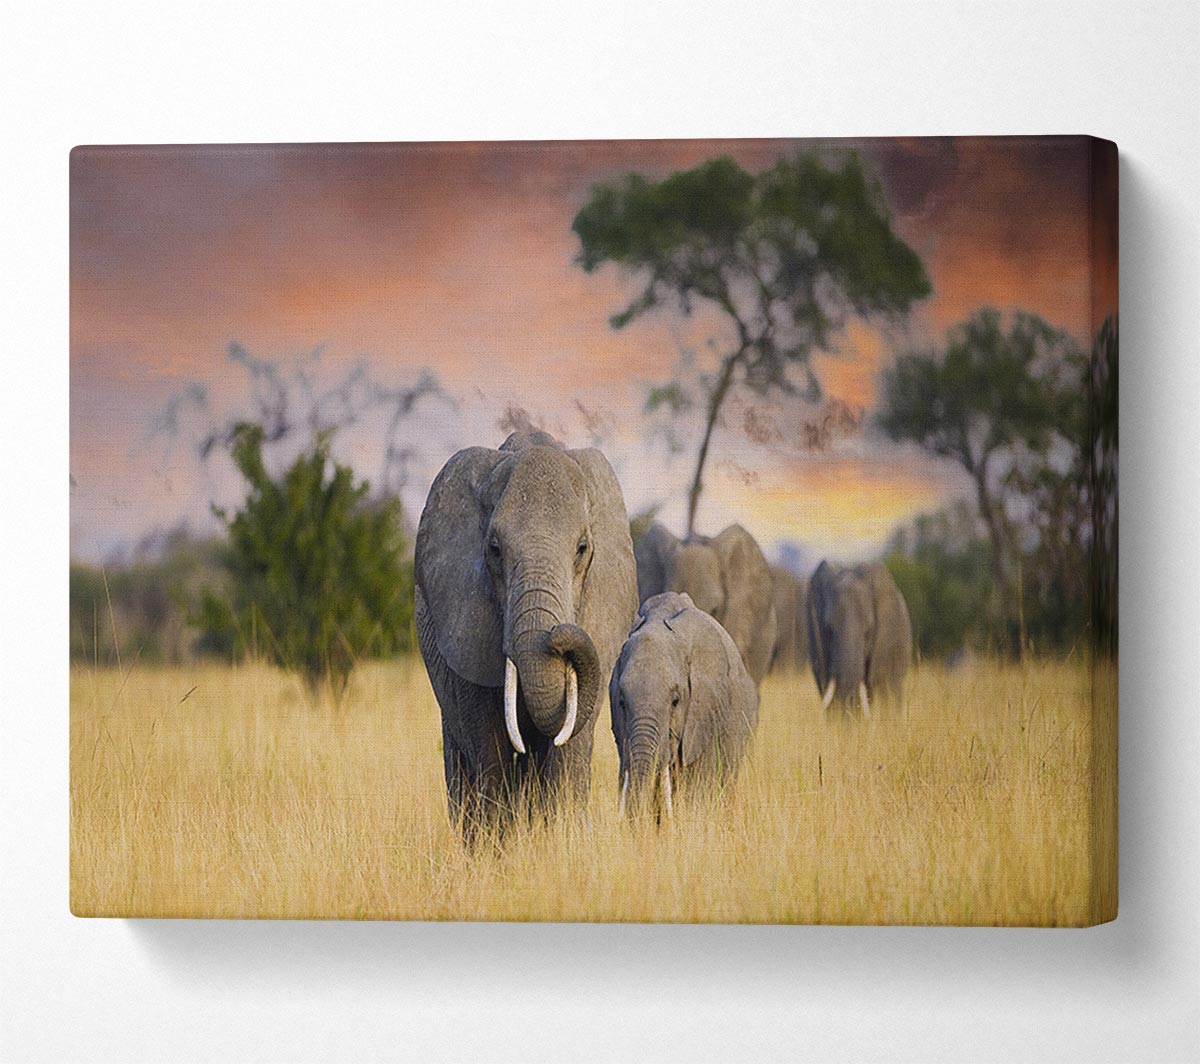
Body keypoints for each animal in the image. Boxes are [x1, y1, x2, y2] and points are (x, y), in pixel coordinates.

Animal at [414, 430, 638, 838]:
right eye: (494, 549)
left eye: (582, 549)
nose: (559, 635)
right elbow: (488, 745)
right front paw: (494, 847)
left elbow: (570, 745)